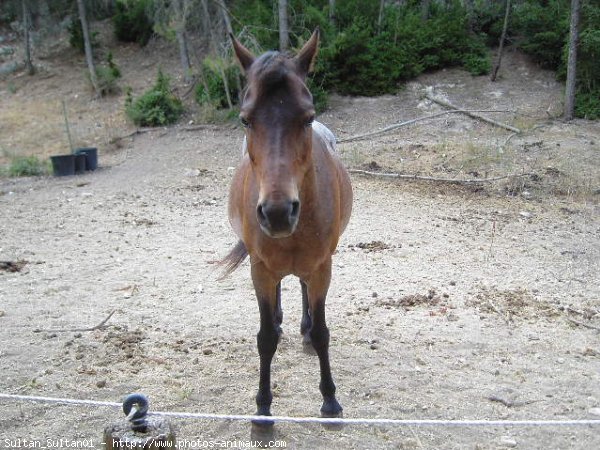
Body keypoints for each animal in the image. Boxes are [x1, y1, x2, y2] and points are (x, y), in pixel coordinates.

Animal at [221, 29, 352, 428]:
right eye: (245, 120)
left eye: (307, 118)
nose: (278, 213)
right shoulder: (260, 269)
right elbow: (264, 338)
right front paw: (263, 409)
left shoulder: (323, 266)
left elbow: (323, 332)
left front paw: (330, 400)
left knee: (304, 290)